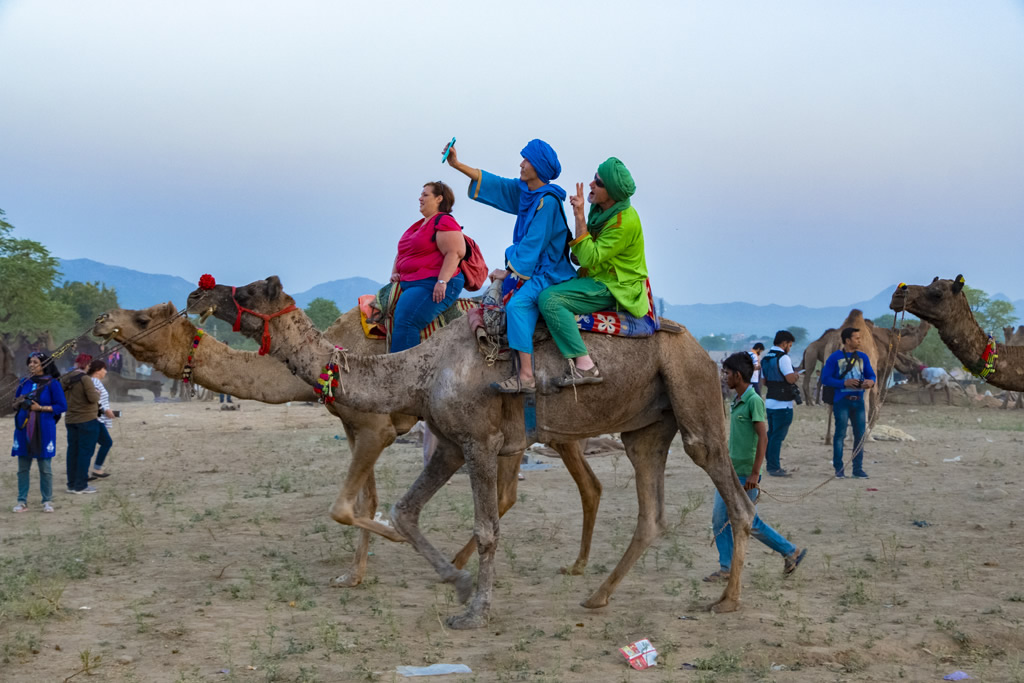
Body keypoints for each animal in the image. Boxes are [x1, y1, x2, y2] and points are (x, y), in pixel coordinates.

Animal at [93, 305, 602, 589]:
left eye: (142, 318)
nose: (100, 321)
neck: (327, 356)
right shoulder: (357, 428)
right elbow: (364, 500)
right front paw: (354, 574)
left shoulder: (375, 428)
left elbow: (347, 505)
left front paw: (389, 540)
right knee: (582, 486)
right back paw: (574, 565)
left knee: (524, 491)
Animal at [188, 276, 757, 630]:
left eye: (250, 290)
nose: (200, 292)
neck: (419, 369)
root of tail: (700, 347)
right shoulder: (449, 443)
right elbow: (405, 511)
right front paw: (457, 583)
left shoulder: (479, 443)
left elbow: (486, 530)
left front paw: (475, 612)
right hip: (646, 429)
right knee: (651, 511)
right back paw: (597, 595)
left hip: (694, 393)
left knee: (734, 494)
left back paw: (728, 600)